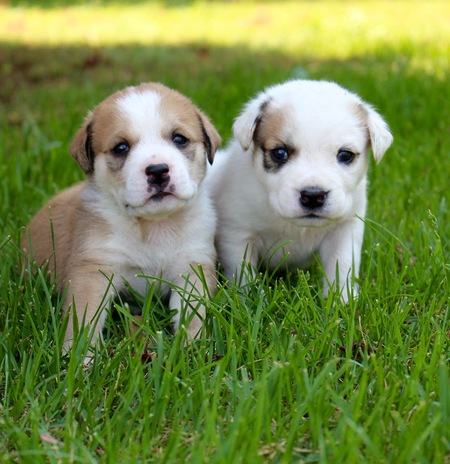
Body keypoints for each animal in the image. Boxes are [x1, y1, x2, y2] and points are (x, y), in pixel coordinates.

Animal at [22, 82, 221, 352]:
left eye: (179, 139)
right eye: (121, 148)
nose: (158, 171)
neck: (154, 226)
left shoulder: (192, 268)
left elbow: (193, 314)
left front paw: (193, 349)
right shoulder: (94, 270)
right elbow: (84, 321)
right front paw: (79, 358)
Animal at [206, 80, 392, 300]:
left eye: (345, 155)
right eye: (279, 153)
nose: (313, 195)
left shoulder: (344, 230)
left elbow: (341, 267)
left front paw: (342, 301)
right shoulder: (237, 235)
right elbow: (243, 274)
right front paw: (250, 300)